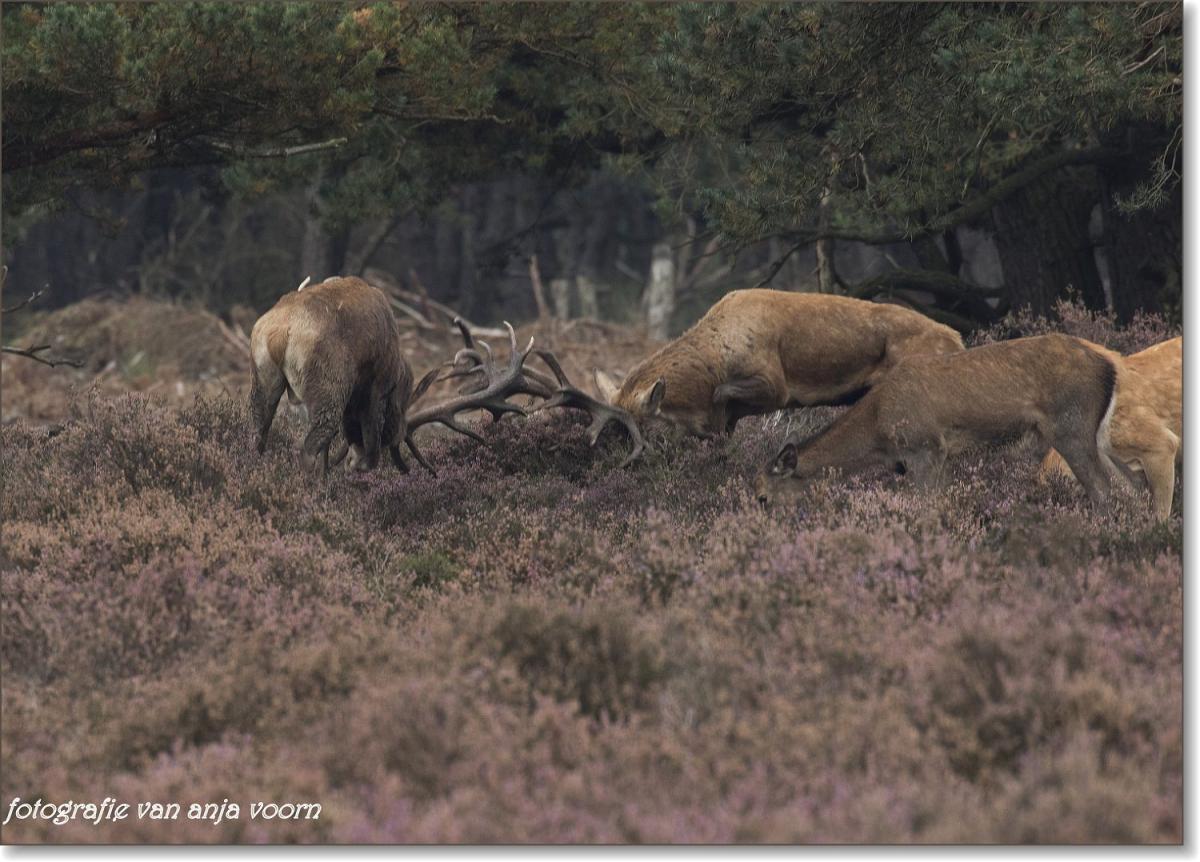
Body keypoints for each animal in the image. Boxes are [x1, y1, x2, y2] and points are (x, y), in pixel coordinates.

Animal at [755, 334, 1119, 508]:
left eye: (762, 498)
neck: (878, 430)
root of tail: (1109, 369)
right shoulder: (936, 458)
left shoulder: (924, 448)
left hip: (1071, 423)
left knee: (1102, 488)